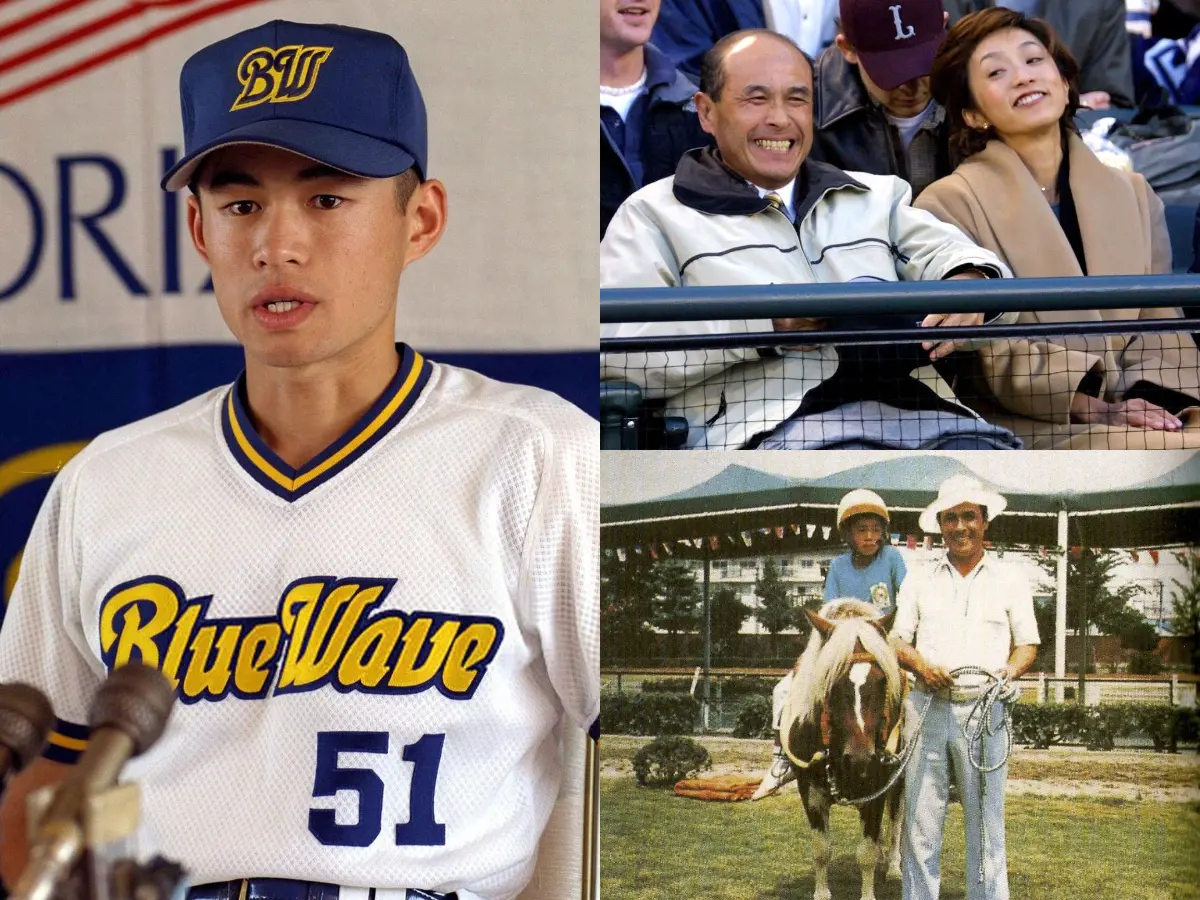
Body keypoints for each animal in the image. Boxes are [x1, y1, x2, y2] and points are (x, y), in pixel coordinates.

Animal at [777, 600, 902, 900]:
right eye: (832, 681)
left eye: (882, 681)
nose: (860, 759)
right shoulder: (809, 792)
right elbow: (822, 850)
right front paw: (822, 892)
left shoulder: (877, 790)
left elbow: (866, 853)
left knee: (896, 821)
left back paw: (893, 866)